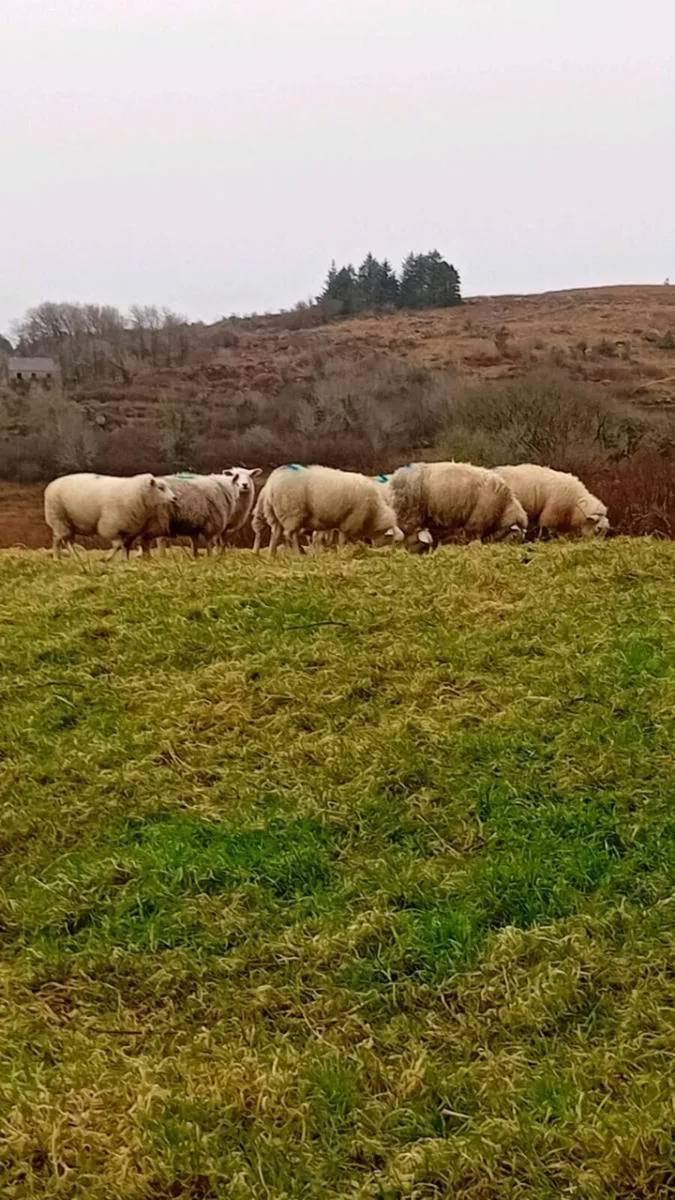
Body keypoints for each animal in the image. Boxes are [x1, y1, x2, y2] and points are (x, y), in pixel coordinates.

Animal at [44, 472, 176, 560]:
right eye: (160, 488)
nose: (174, 498)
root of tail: (51, 484)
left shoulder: (130, 530)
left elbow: (125, 546)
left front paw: (125, 560)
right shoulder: (110, 526)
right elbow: (117, 545)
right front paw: (107, 558)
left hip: (69, 523)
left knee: (67, 541)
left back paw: (76, 557)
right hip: (58, 518)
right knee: (57, 540)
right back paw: (57, 558)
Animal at [252, 464, 405, 554]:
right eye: (395, 541)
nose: (379, 547)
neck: (374, 513)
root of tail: (270, 484)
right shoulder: (351, 520)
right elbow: (344, 538)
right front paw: (344, 551)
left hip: (275, 513)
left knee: (276, 534)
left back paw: (272, 555)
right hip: (292, 512)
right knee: (290, 534)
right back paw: (298, 553)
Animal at [389, 461, 528, 547]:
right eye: (514, 537)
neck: (503, 508)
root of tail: (397, 476)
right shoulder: (475, 525)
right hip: (409, 514)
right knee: (407, 536)